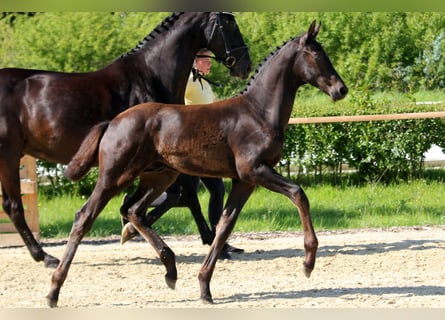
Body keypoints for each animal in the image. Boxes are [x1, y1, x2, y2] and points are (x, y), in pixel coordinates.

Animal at [0, 12, 250, 268]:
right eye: (230, 24)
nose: (245, 64)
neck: (150, 76)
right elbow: (177, 196)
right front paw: (131, 227)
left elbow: (175, 197)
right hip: (8, 155)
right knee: (13, 206)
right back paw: (46, 257)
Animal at [47, 21, 346, 306]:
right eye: (316, 55)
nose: (341, 89)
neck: (258, 112)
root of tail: (113, 122)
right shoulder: (256, 170)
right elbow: (298, 193)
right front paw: (308, 261)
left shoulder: (244, 181)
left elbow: (224, 226)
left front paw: (204, 286)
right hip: (115, 175)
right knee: (85, 216)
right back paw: (53, 290)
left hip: (158, 177)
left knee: (134, 210)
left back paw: (169, 269)